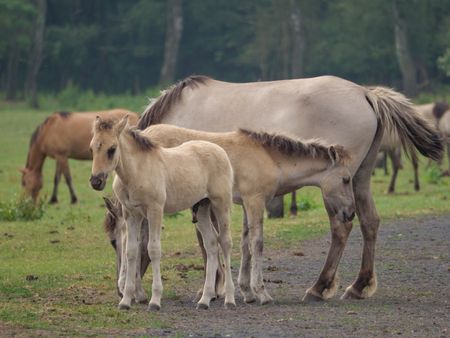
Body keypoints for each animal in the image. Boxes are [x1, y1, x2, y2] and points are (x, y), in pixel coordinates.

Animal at [89, 116, 236, 312]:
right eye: (91, 148)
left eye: (112, 149)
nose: (95, 181)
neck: (137, 171)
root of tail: (219, 150)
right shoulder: (131, 214)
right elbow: (131, 251)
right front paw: (126, 301)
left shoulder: (155, 210)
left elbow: (153, 249)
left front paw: (155, 301)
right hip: (201, 208)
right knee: (211, 244)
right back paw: (204, 300)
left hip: (221, 205)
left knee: (225, 243)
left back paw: (229, 299)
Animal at [136, 76, 440, 304]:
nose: (131, 291)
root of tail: (366, 93)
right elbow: (243, 239)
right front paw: (241, 287)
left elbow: (209, 241)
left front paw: (216, 287)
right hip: (361, 178)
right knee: (369, 221)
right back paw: (359, 286)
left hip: (338, 189)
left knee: (342, 227)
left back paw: (320, 287)